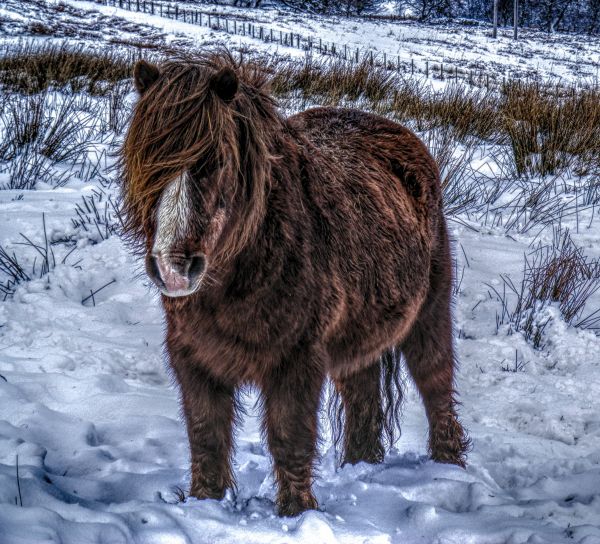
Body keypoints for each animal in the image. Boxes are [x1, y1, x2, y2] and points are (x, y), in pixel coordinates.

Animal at [120, 53, 468, 516]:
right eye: (147, 162)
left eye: (216, 161)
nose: (173, 267)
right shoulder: (193, 358)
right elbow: (206, 436)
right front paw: (204, 503)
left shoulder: (296, 359)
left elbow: (290, 436)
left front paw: (296, 512)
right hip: (358, 338)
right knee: (363, 400)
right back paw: (362, 465)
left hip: (429, 315)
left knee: (436, 382)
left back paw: (450, 466)